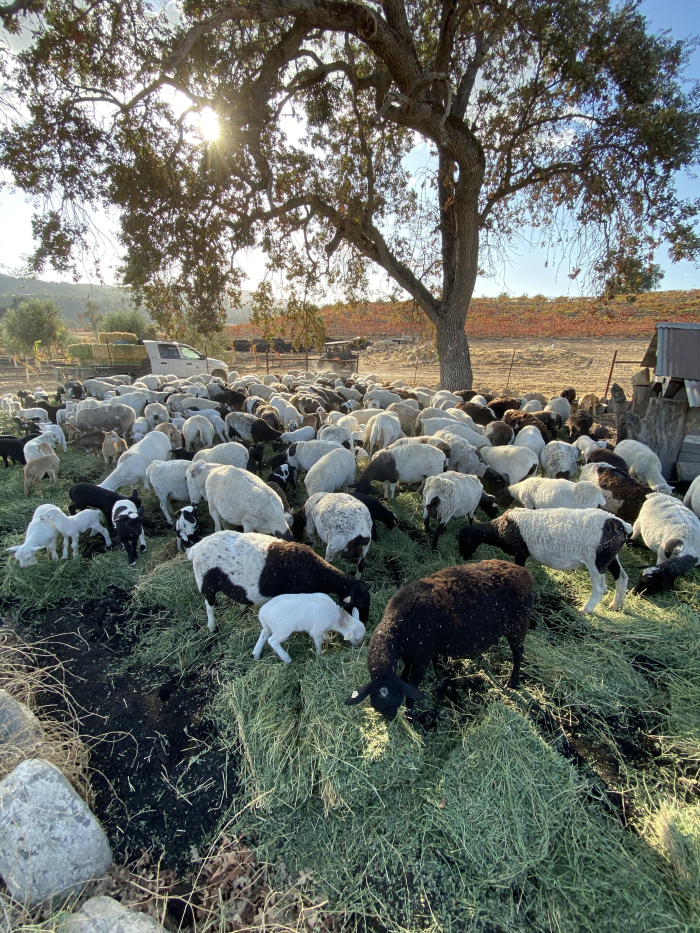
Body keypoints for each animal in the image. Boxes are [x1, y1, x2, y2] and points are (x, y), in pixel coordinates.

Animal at [188, 531, 371, 632]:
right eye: (361, 603)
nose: (365, 621)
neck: (316, 571)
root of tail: (196, 548)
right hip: (206, 583)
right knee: (209, 606)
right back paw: (212, 627)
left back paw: (241, 607)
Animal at [345, 560, 534, 719]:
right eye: (376, 705)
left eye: (397, 701)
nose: (391, 718)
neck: (398, 624)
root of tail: (525, 573)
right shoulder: (411, 653)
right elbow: (405, 672)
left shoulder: (422, 657)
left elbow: (413, 682)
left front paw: (410, 709)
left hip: (518, 625)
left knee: (518, 653)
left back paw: (512, 681)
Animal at [457, 507, 632, 613]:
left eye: (463, 541)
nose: (464, 558)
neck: (499, 528)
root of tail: (623, 525)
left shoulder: (520, 552)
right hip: (610, 556)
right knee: (622, 577)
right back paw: (616, 605)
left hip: (596, 559)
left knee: (600, 587)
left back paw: (586, 609)